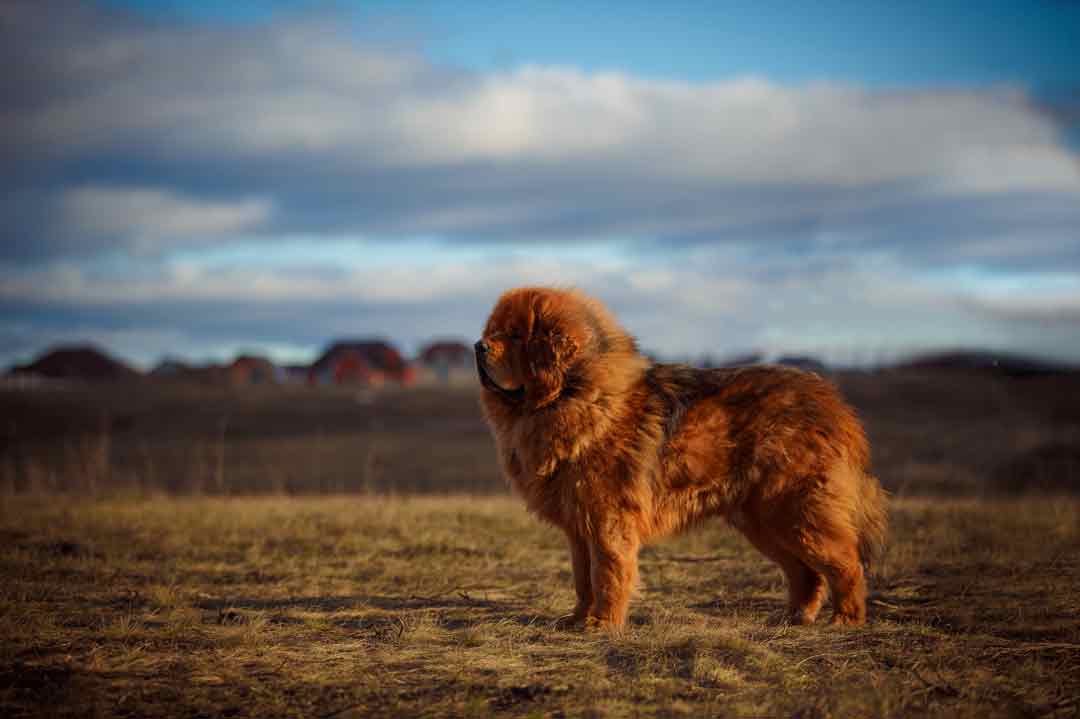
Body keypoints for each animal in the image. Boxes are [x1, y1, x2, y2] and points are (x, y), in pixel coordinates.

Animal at [477, 287, 889, 626]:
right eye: (493, 330)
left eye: (515, 336)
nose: (479, 346)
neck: (574, 393)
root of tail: (834, 404)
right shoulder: (579, 524)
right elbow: (583, 578)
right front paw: (578, 619)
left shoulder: (607, 519)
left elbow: (607, 573)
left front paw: (602, 624)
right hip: (762, 521)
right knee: (806, 573)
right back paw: (794, 617)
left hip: (795, 511)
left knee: (846, 564)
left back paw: (845, 620)